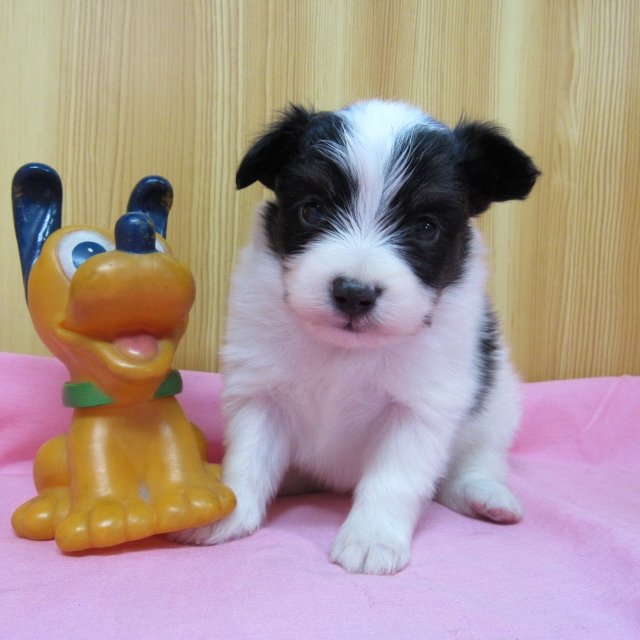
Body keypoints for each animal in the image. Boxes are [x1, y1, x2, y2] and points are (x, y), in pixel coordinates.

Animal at [173, 100, 540, 574]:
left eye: (425, 228)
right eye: (312, 210)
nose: (353, 293)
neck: (346, 350)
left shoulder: (419, 410)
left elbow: (394, 478)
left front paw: (372, 538)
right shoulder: (260, 394)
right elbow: (249, 459)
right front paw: (227, 513)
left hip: (497, 409)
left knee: (473, 463)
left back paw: (485, 496)